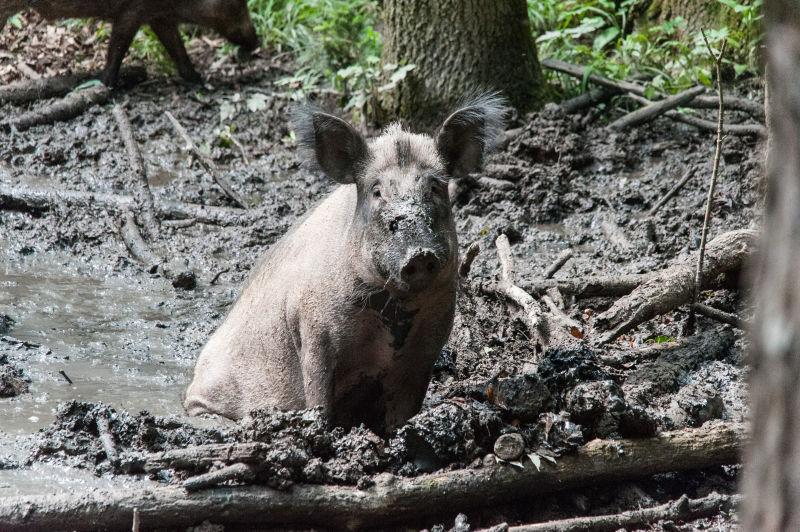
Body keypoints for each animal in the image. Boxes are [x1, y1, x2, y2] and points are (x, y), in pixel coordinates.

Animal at [0, 0, 256, 85]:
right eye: (238, 4)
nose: (256, 42)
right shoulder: (131, 12)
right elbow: (118, 46)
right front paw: (105, 84)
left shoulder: (158, 15)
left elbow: (177, 48)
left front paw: (198, 79)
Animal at [186, 94, 506, 436]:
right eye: (376, 191)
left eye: (434, 187)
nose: (419, 254)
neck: (391, 311)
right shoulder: (313, 331)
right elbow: (318, 396)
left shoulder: (428, 343)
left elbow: (405, 406)